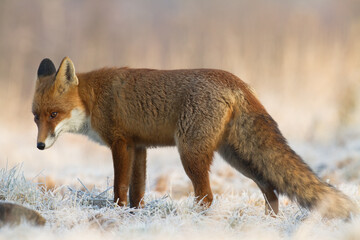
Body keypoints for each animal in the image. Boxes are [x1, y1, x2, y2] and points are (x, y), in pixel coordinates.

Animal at [31, 57, 358, 218]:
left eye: (54, 115)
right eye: (36, 116)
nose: (39, 145)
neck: (94, 97)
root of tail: (237, 81)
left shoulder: (120, 143)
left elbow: (119, 187)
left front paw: (118, 213)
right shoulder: (139, 146)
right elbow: (138, 191)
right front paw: (135, 216)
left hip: (190, 153)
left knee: (208, 196)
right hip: (236, 157)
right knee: (270, 187)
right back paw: (269, 224)